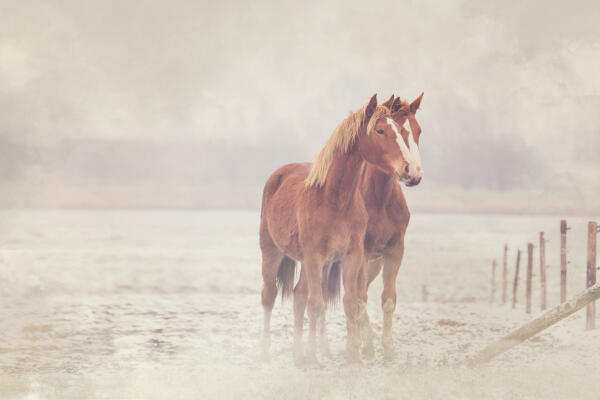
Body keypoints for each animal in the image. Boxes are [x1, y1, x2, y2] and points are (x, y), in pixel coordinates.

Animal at [258, 94, 418, 362]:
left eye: (412, 131)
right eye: (380, 130)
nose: (410, 170)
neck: (334, 199)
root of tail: (278, 175)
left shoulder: (352, 256)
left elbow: (351, 301)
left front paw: (353, 354)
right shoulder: (315, 256)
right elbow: (317, 305)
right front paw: (316, 358)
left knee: (299, 296)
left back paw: (299, 352)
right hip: (272, 252)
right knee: (269, 296)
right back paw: (269, 352)